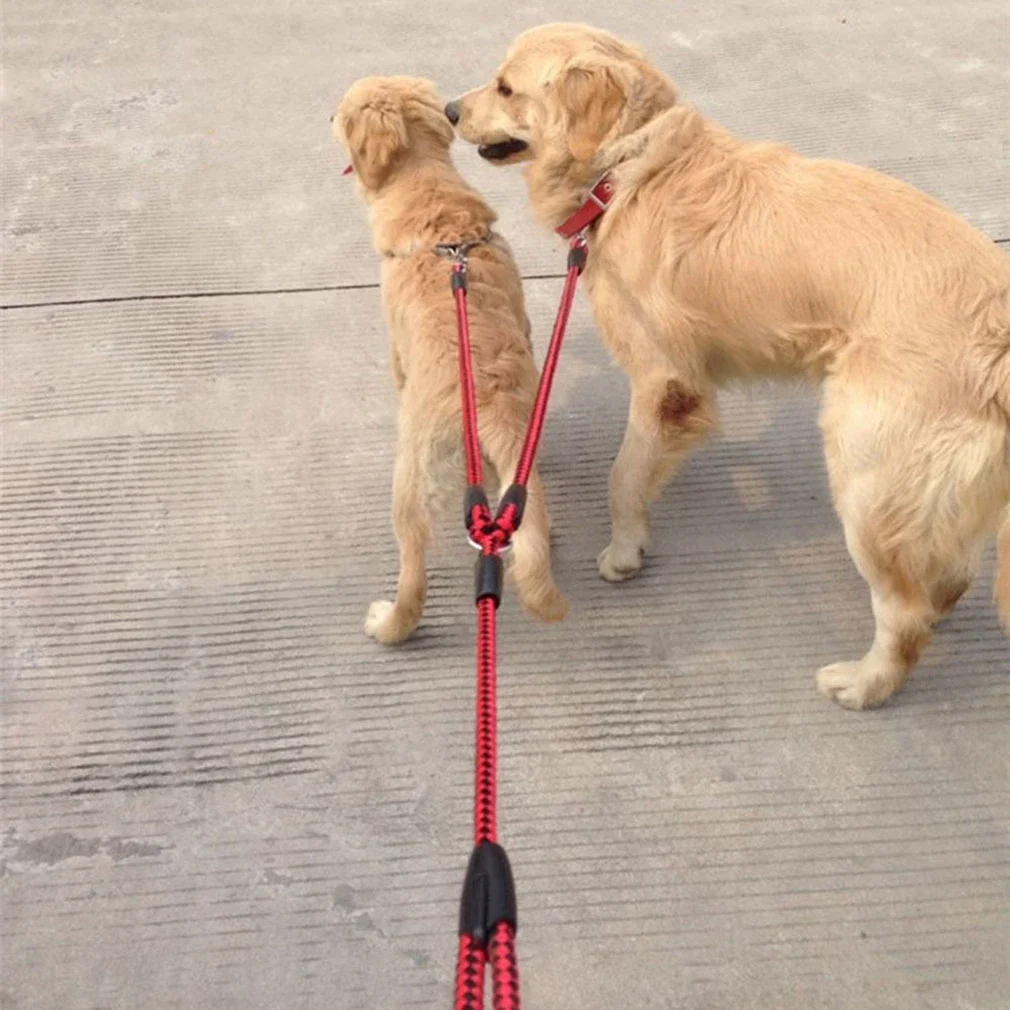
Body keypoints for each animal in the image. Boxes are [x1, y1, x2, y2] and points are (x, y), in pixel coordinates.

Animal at [333, 76, 565, 646]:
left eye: (340, 113)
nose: (324, 117)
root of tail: (490, 408)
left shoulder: (396, 349)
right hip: (517, 471)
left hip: (410, 488)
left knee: (413, 577)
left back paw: (389, 624)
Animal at [450, 19, 1010, 707]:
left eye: (506, 86)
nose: (449, 110)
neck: (628, 169)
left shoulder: (663, 381)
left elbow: (623, 476)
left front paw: (624, 551)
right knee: (945, 577)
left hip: (865, 473)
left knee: (903, 613)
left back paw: (864, 684)